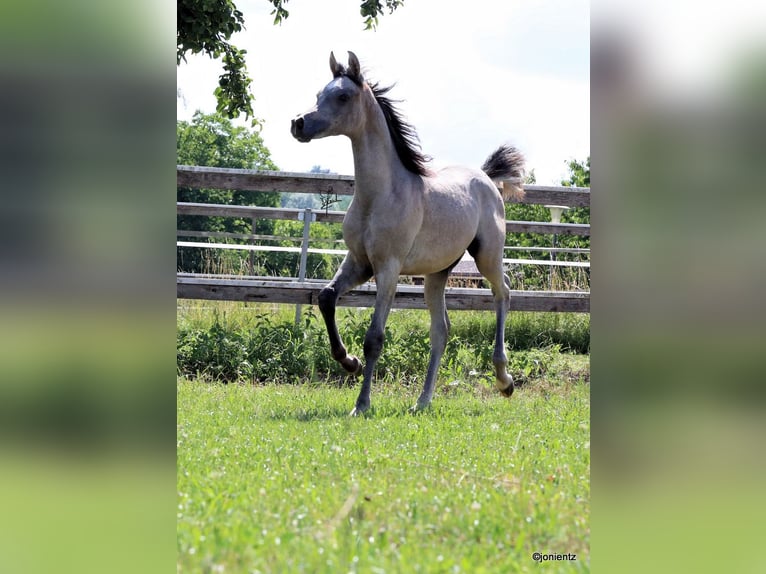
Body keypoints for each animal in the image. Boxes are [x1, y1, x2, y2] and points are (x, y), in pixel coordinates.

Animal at [292, 51, 524, 416]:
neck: (381, 195)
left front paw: (361, 404)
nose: (298, 123)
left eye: (342, 96)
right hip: (437, 272)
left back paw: (504, 381)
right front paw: (349, 362)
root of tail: (486, 177)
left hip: (487, 254)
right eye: (319, 93)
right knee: (441, 330)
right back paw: (422, 401)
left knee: (504, 292)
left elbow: (375, 337)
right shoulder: (359, 262)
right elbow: (327, 297)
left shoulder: (388, 268)